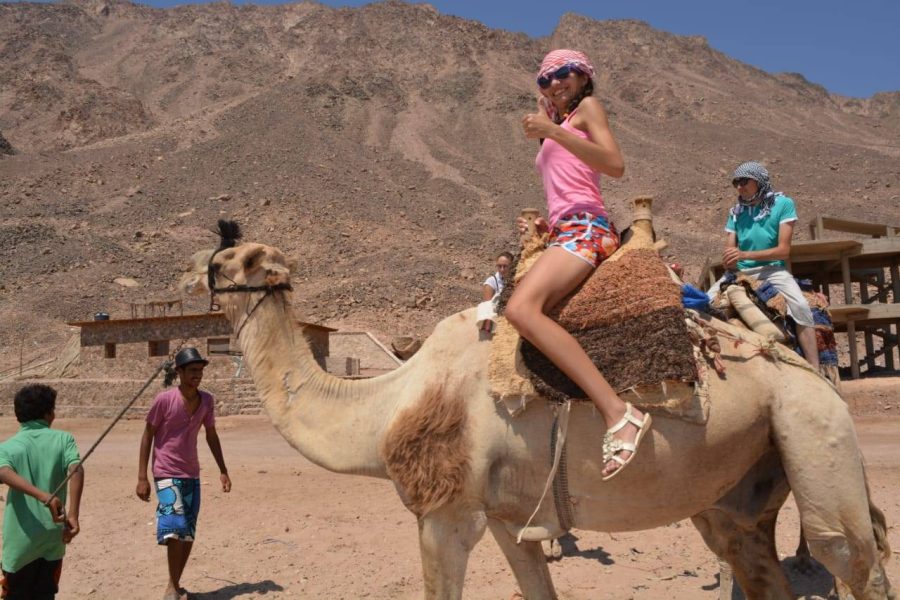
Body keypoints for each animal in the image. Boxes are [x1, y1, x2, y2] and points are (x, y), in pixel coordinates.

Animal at [179, 210, 892, 600]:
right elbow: (538, 587)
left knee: (851, 556)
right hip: (737, 487)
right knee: (753, 557)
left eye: (226, 259)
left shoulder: (445, 512)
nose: (188, 275)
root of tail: (796, 360)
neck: (389, 404)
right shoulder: (506, 515)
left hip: (810, 426)